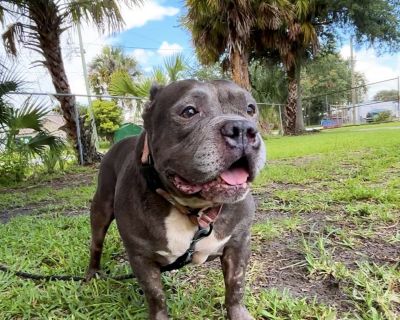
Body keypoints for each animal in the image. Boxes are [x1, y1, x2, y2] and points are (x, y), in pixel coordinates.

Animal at [86, 80, 266, 320]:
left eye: (250, 109)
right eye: (188, 111)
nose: (242, 129)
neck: (195, 209)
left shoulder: (238, 244)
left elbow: (236, 286)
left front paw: (238, 313)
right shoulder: (141, 257)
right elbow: (155, 296)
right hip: (101, 209)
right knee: (96, 243)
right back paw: (92, 273)